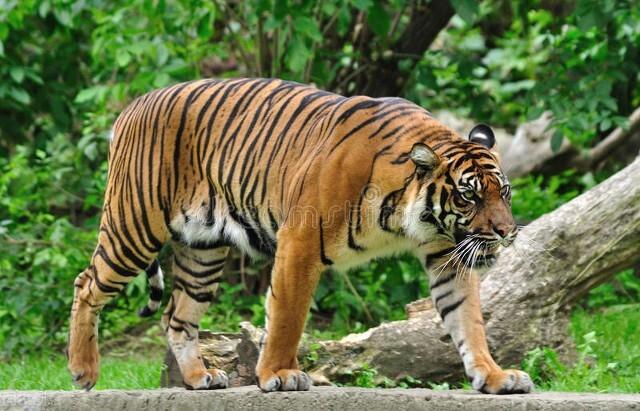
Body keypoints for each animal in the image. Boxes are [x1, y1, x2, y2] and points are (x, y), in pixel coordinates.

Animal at [67, 78, 533, 394]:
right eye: (469, 196)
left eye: (504, 193)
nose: (506, 232)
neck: (408, 215)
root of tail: (132, 106)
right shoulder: (301, 241)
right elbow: (287, 316)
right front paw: (279, 374)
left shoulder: (446, 255)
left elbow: (468, 321)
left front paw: (495, 376)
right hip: (134, 226)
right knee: (86, 284)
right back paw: (83, 370)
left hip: (203, 250)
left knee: (177, 317)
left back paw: (201, 377)